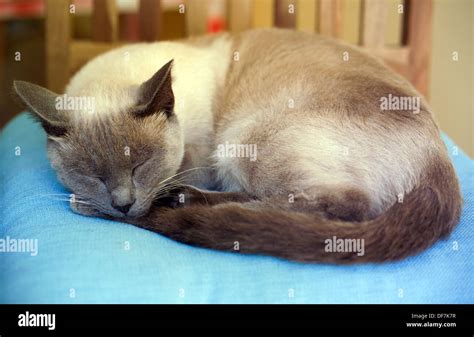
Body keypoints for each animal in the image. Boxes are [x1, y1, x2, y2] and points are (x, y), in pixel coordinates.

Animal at [13, 28, 460, 262]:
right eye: (93, 175)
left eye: (141, 165)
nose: (122, 204)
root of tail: (440, 169)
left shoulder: (198, 158)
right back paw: (179, 200)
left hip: (242, 138)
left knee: (339, 206)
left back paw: (179, 205)